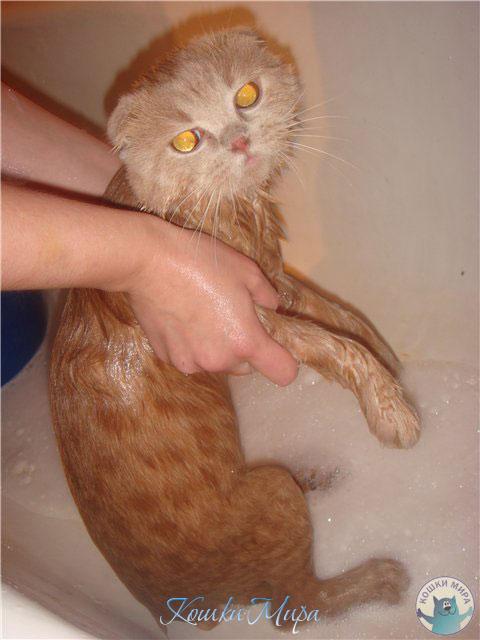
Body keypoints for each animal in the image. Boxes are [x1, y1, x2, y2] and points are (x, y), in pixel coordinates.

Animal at [50, 28, 420, 632]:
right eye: (186, 140)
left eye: (246, 95)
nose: (239, 141)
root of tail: (168, 609)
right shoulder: (246, 317)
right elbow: (335, 346)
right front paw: (391, 410)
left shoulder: (276, 280)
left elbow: (340, 316)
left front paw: (388, 357)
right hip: (273, 500)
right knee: (295, 608)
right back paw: (379, 578)